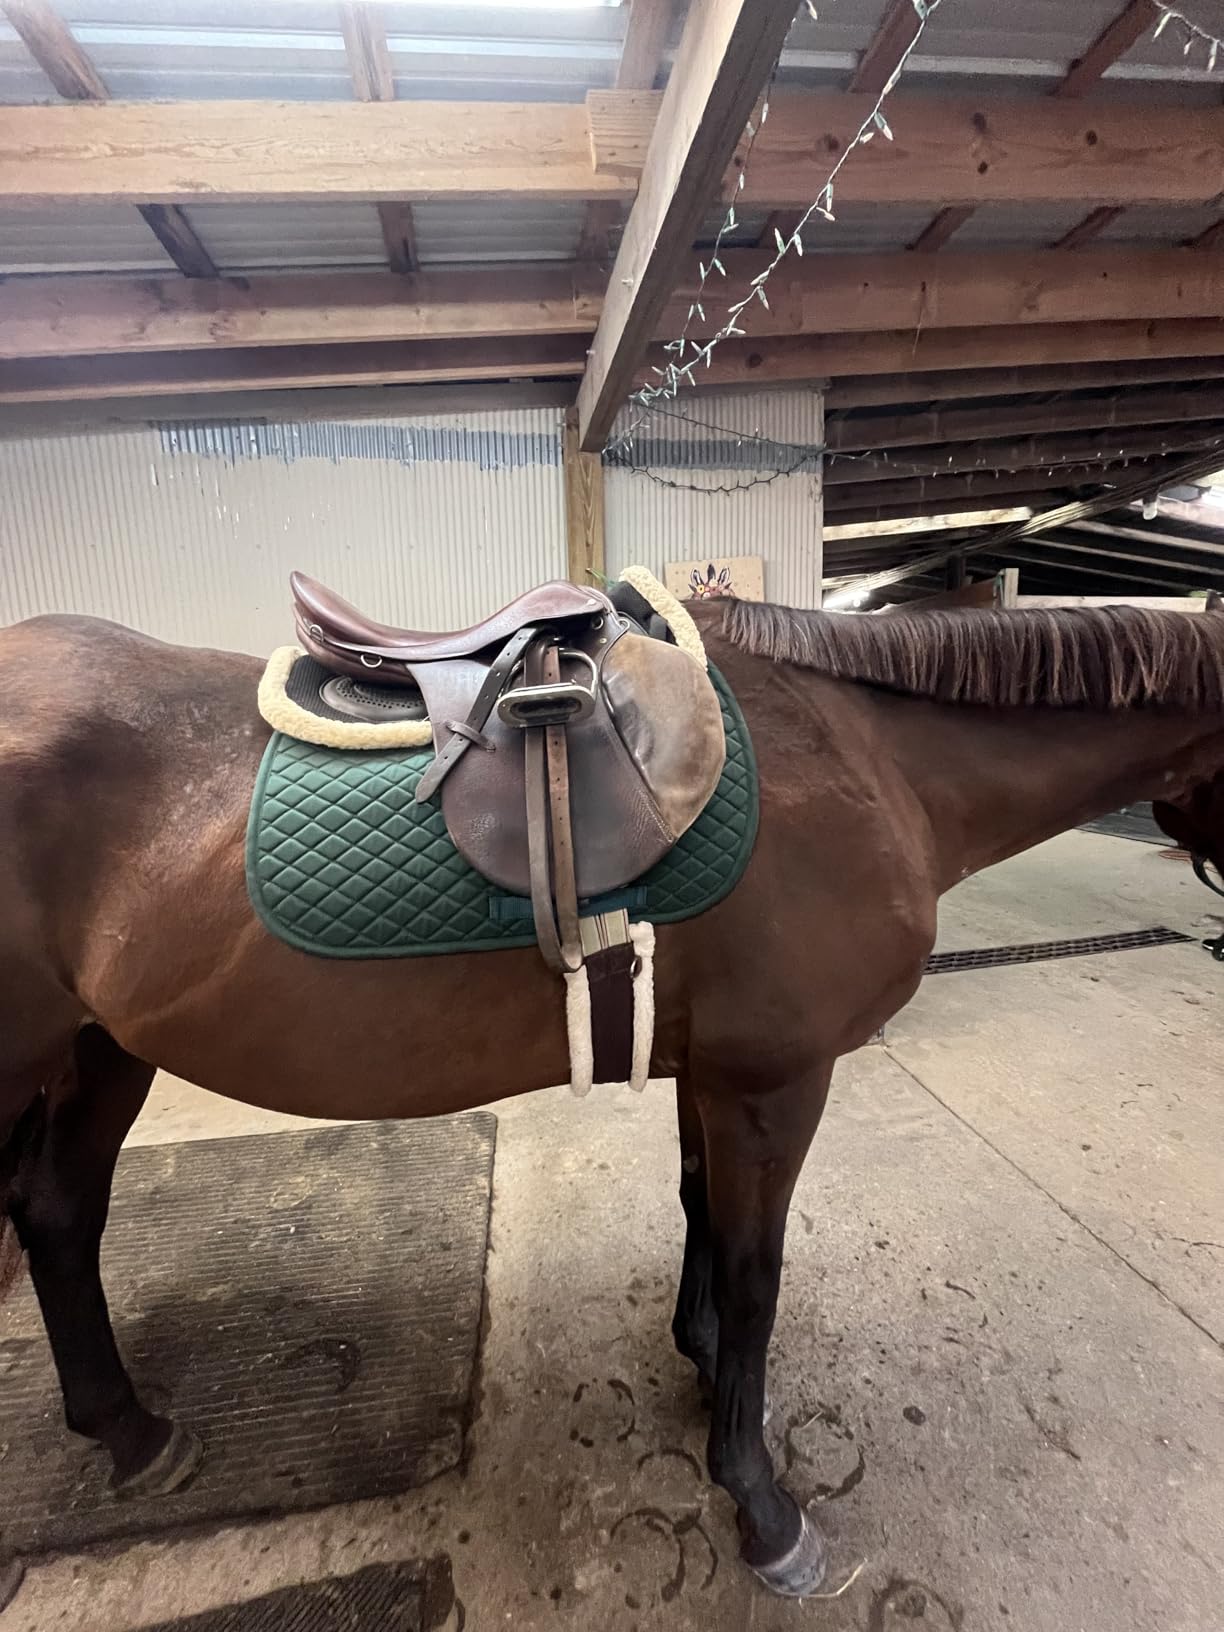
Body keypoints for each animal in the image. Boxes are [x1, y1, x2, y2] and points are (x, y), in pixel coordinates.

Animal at [2, 595, 1223, 1598]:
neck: (873, 756)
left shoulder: (713, 1071)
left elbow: (700, 1214)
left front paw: (702, 1357)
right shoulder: (777, 1081)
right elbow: (758, 1273)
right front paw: (760, 1500)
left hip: (102, 1051)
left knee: (58, 1214)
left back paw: (129, 1431)